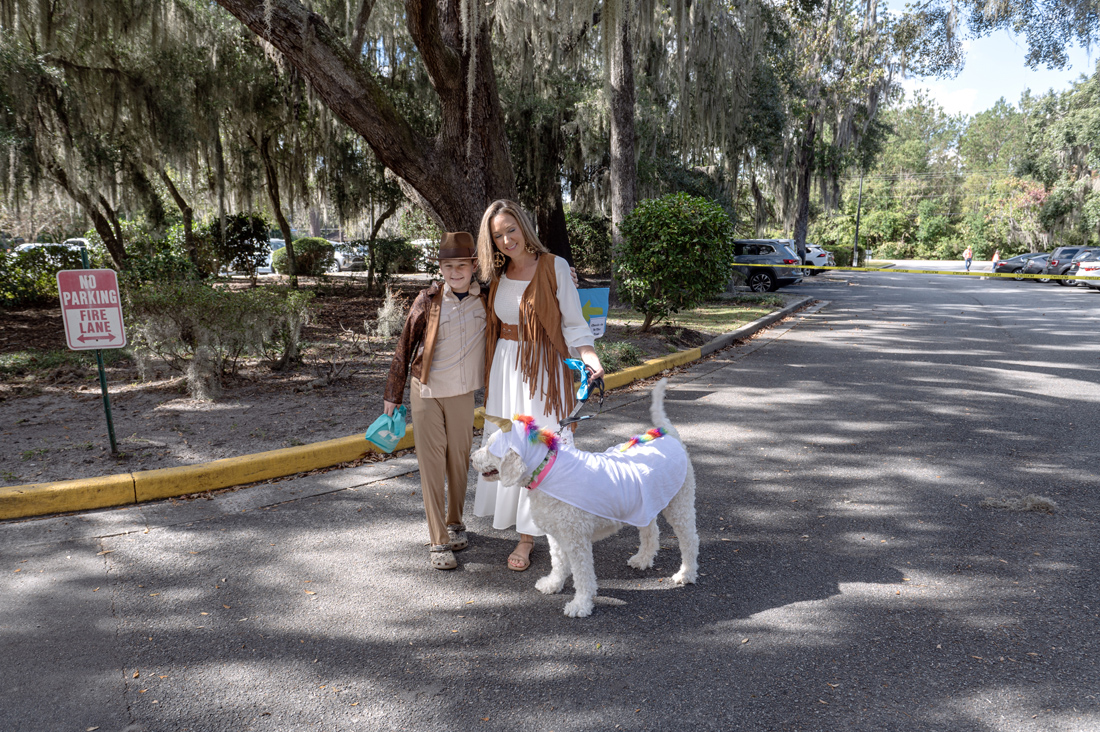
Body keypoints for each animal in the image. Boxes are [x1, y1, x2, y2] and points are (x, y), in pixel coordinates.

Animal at [470, 378, 695, 612]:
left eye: (490, 448)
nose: (471, 458)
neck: (546, 468)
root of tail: (669, 434)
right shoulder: (557, 535)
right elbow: (558, 563)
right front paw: (553, 584)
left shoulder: (576, 540)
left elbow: (582, 574)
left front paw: (581, 604)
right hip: (644, 506)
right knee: (651, 531)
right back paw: (643, 559)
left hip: (680, 504)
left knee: (690, 540)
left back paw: (686, 573)